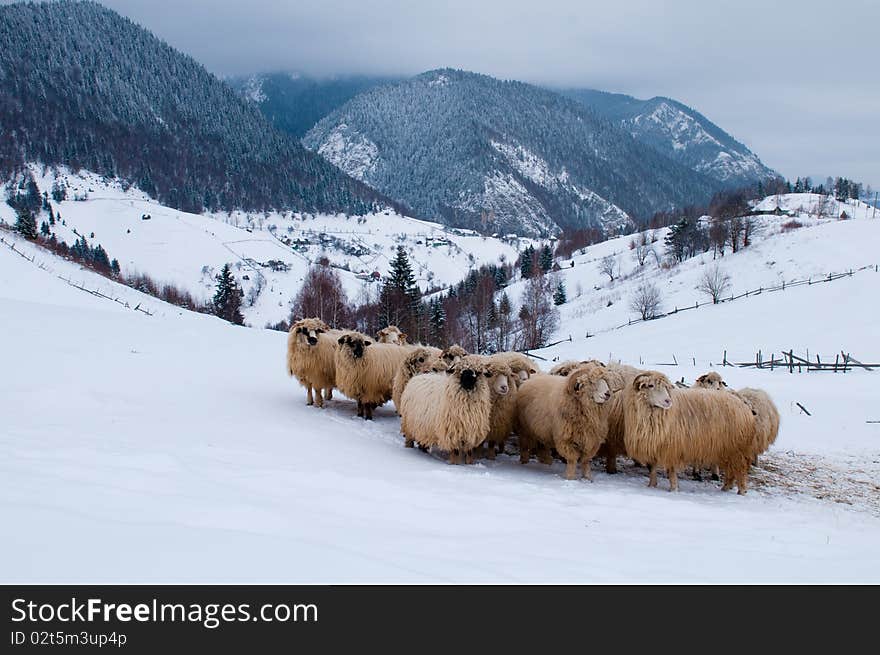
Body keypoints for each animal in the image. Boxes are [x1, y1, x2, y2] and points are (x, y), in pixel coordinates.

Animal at [624, 372, 752, 494]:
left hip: (737, 450)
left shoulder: (671, 448)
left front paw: (673, 489)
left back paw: (741, 491)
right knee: (731, 471)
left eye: (666, 387)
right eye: (650, 385)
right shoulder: (653, 445)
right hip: (727, 450)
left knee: (740, 470)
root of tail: (743, 405)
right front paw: (652, 485)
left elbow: (671, 470)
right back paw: (726, 488)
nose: (668, 401)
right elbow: (652, 468)